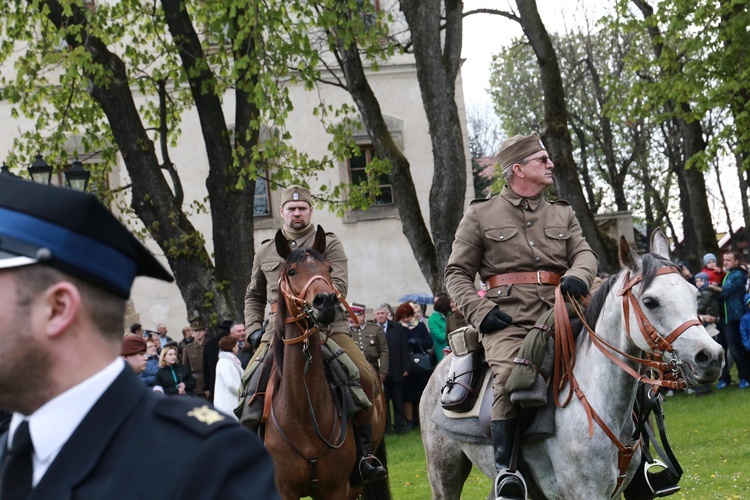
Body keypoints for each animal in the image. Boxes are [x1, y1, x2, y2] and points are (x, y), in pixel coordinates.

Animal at [264, 228, 390, 500]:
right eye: (292, 272)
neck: (303, 411)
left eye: (329, 268)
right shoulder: (283, 490)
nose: (326, 301)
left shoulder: (336, 489)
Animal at [420, 230, 724, 500]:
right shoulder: (587, 493)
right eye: (650, 301)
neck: (595, 401)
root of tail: (444, 363)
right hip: (444, 471)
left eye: (695, 294)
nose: (710, 356)